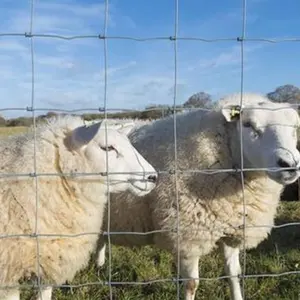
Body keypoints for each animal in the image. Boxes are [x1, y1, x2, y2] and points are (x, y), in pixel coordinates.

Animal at [95, 93, 300, 300]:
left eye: (295, 128)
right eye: (248, 124)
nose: (289, 164)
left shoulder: (231, 228)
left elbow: (234, 274)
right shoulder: (187, 236)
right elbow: (192, 284)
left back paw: (99, 264)